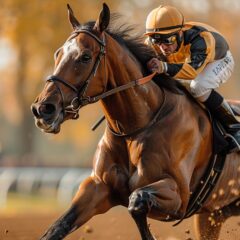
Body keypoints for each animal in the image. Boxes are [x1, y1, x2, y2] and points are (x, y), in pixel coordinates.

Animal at [30, 3, 240, 240]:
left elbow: (136, 201)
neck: (137, 126)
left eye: (85, 57)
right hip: (213, 214)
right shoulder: (97, 188)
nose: (43, 109)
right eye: (58, 53)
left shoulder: (179, 196)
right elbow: (57, 228)